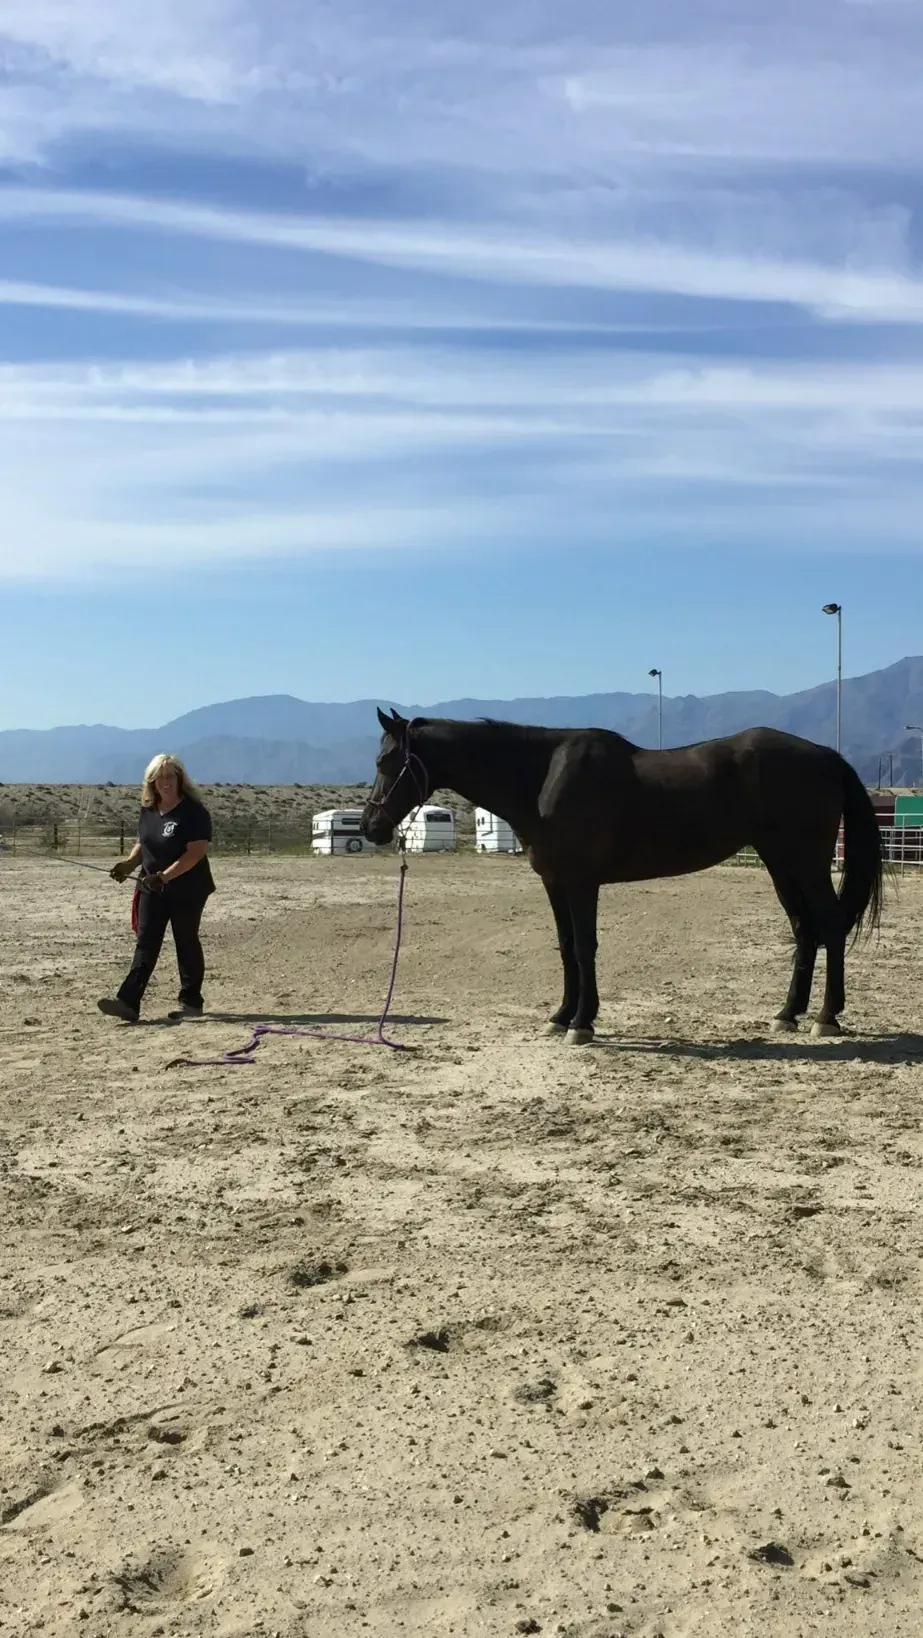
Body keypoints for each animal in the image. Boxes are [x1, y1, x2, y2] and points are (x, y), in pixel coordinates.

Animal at [360, 708, 884, 1044]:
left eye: (387, 762)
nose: (370, 827)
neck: (542, 778)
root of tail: (826, 755)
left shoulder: (581, 882)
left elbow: (585, 947)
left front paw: (581, 1024)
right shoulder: (555, 882)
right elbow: (566, 947)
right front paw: (561, 1016)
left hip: (806, 861)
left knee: (829, 926)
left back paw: (826, 1018)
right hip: (781, 862)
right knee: (804, 930)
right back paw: (787, 1014)